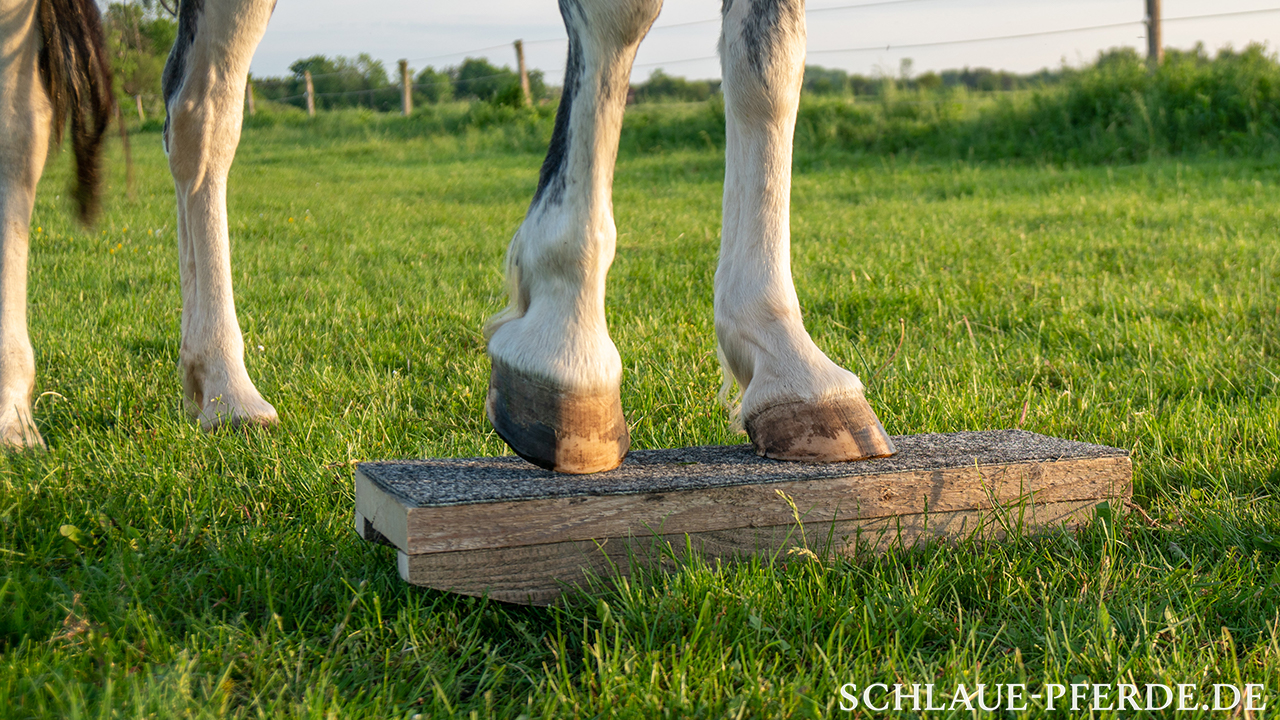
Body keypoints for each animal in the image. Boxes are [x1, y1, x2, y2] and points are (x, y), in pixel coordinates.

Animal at [0, 0, 895, 473]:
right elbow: (623, 17)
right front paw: (566, 344)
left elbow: (767, 65)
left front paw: (788, 359)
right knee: (24, 124)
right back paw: (12, 406)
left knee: (201, 116)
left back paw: (222, 386)